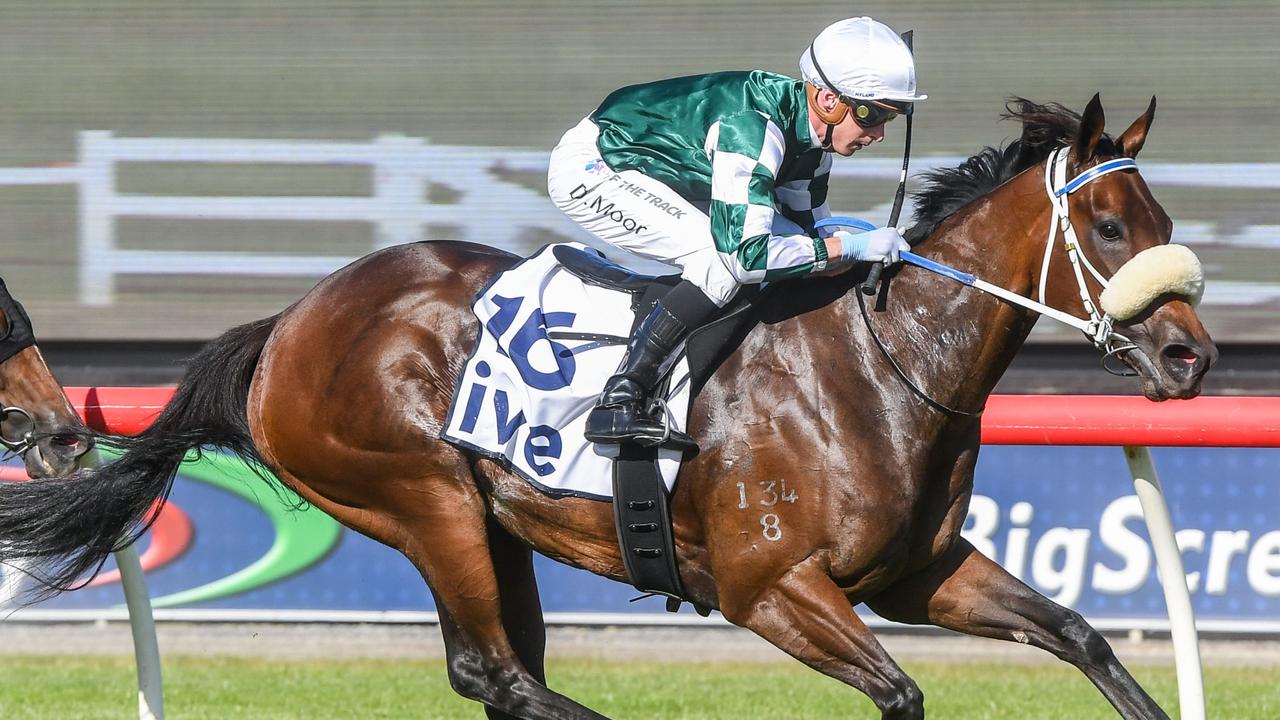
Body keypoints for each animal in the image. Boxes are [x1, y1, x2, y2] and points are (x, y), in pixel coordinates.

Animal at [0, 96, 1213, 717]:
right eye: (1109, 226)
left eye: (1160, 217)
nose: (1190, 355)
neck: (883, 366)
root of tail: (294, 319)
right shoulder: (768, 590)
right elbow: (902, 693)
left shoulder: (916, 573)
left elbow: (1081, 635)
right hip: (421, 494)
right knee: (494, 676)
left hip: (496, 525)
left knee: (506, 677)